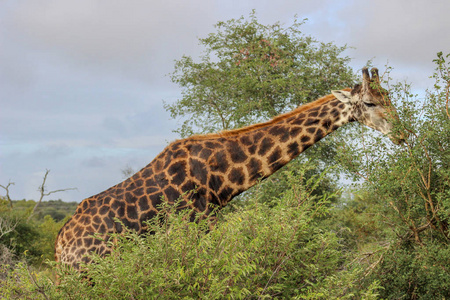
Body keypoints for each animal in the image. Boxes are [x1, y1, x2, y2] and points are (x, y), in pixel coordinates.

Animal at [54, 68, 406, 270]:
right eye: (370, 103)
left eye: (388, 96)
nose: (403, 134)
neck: (220, 178)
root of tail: (58, 249)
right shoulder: (200, 224)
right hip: (89, 272)